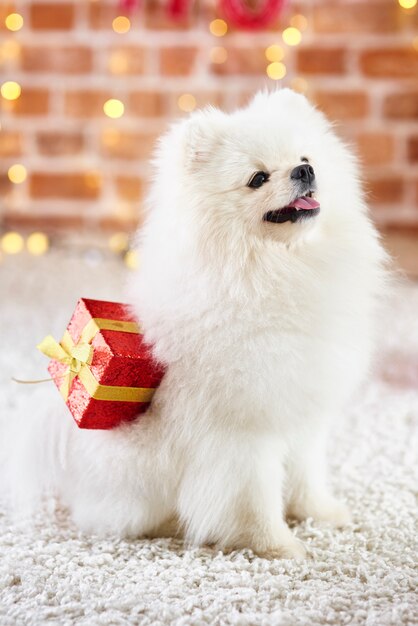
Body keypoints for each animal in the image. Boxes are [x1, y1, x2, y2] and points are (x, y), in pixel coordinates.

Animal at [8, 89, 386, 556]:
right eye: (258, 178)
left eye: (305, 157)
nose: (304, 171)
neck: (271, 269)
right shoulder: (243, 432)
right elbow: (254, 498)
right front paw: (277, 546)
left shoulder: (301, 412)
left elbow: (305, 475)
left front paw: (320, 514)